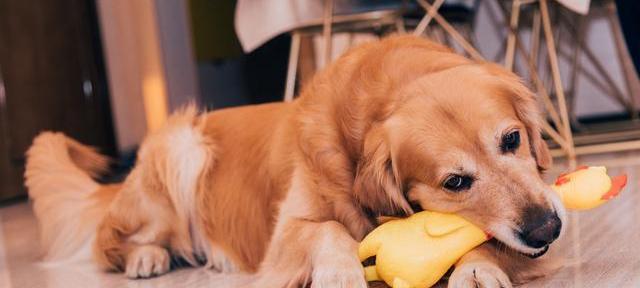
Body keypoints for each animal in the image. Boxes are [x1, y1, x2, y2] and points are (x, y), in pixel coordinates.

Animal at [25, 35, 564, 286]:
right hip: (181, 148)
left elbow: (487, 242)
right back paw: (148, 257)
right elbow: (327, 228)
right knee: (111, 243)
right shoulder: (285, 234)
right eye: (455, 182)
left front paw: (477, 267)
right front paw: (339, 271)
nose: (548, 228)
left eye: (512, 139)